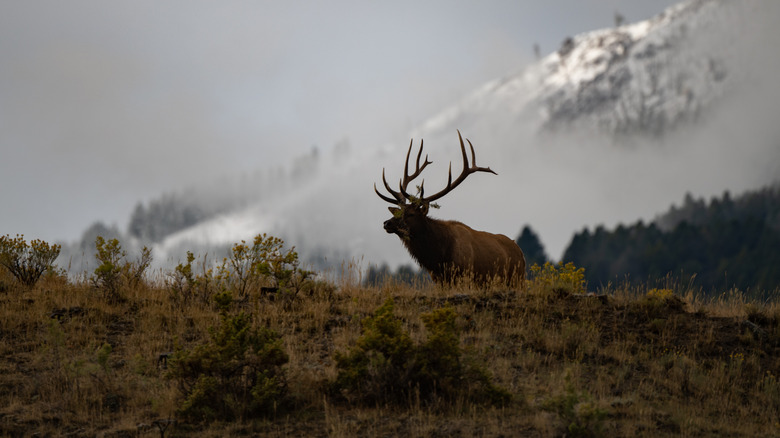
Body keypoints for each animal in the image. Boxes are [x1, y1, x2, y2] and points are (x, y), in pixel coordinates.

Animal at [374, 130, 526, 287]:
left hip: (517, 278)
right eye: (398, 212)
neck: (438, 259)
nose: (387, 223)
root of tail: (521, 253)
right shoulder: (439, 280)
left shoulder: (464, 276)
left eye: (410, 214)